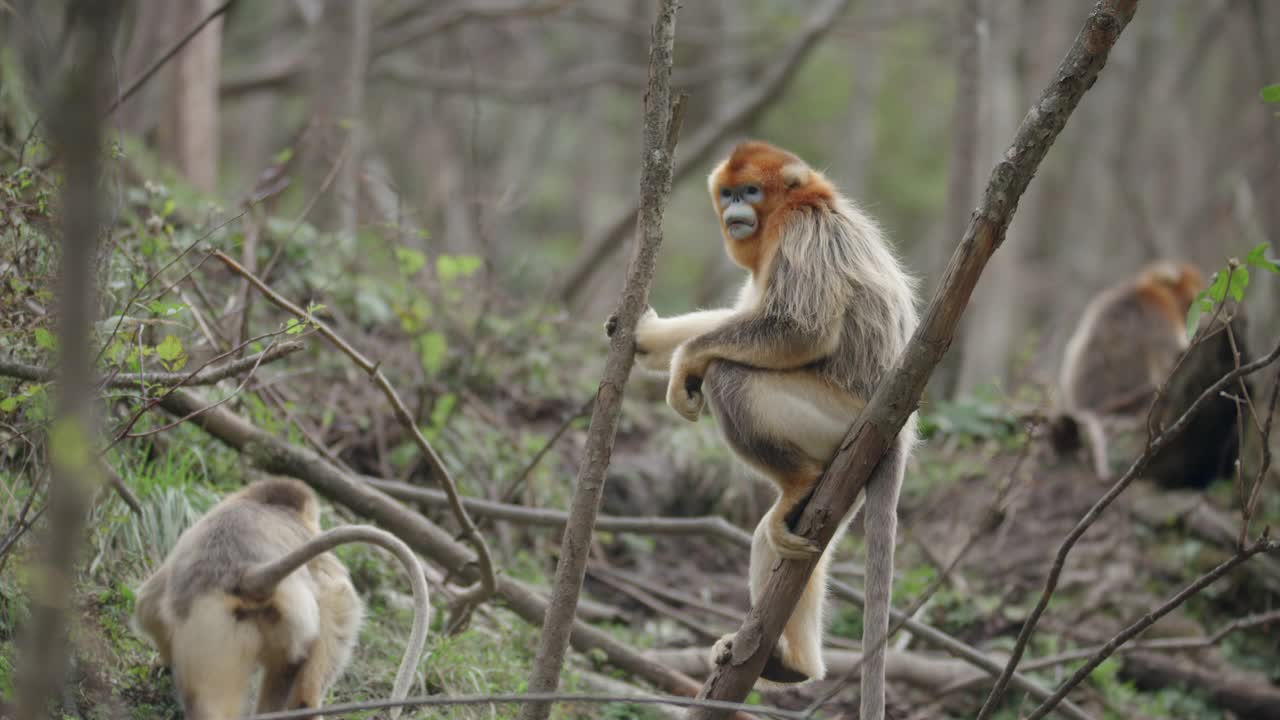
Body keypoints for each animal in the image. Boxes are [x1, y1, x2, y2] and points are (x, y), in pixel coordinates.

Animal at [611, 139, 921, 717]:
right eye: (729, 193)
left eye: (751, 191)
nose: (736, 210)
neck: (806, 204)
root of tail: (898, 430)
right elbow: (742, 316)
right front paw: (649, 335)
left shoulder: (801, 234)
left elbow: (800, 329)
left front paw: (684, 361)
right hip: (848, 463)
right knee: (785, 547)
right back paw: (791, 664)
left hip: (838, 417)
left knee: (731, 374)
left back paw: (793, 484)